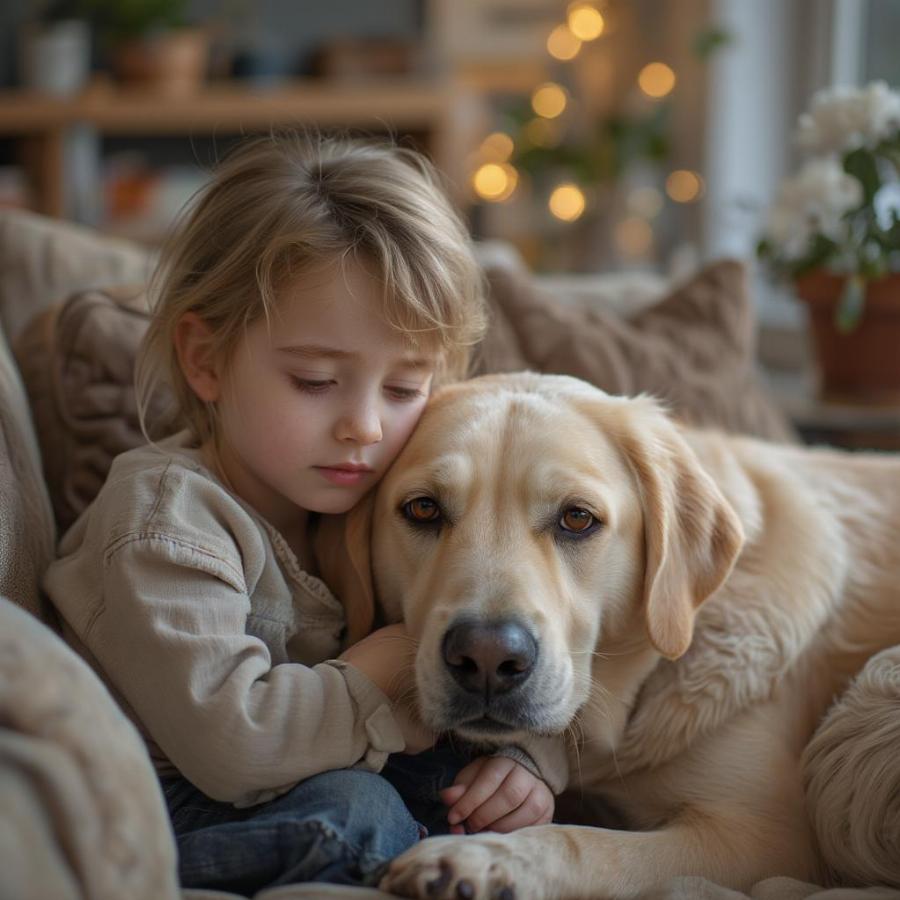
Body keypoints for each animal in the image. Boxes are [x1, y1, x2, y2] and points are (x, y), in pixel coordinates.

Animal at [340, 372, 900, 900]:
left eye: (577, 518)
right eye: (423, 509)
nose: (487, 658)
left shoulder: (765, 837)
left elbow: (587, 843)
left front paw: (485, 859)